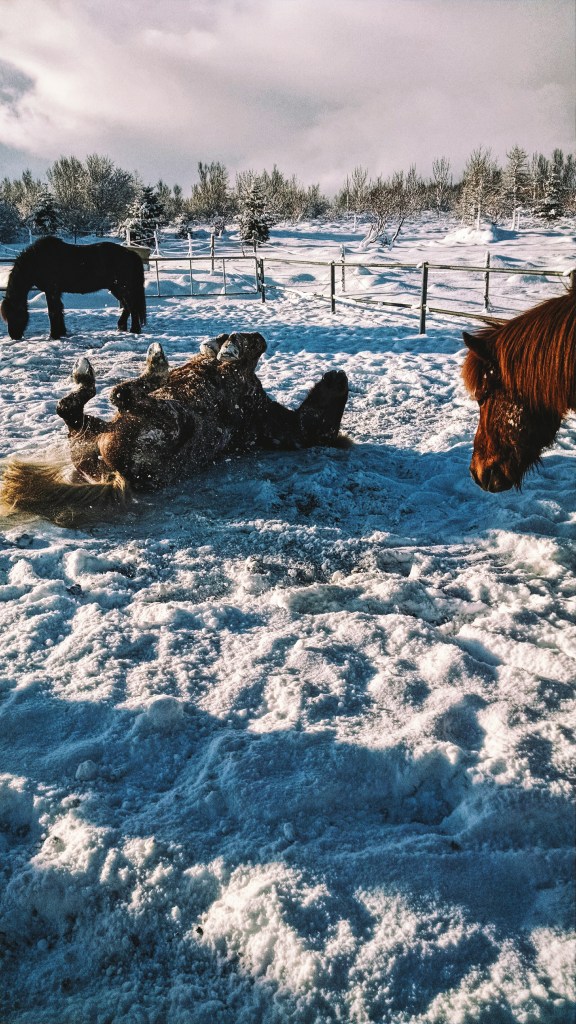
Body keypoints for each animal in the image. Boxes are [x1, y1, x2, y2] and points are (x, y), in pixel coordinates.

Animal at [0, 332, 349, 524]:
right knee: (74, 408)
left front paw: (228, 347)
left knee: (121, 395)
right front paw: (220, 344)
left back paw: (152, 364)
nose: (339, 375)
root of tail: (119, 475)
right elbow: (250, 347)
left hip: (174, 418)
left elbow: (254, 347)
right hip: (90, 433)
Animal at [1, 236, 147, 340]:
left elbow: (52, 311)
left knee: (132, 306)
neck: (38, 260)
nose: (13, 336)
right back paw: (121, 327)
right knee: (127, 306)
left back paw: (134, 330)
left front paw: (53, 335)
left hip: (123, 287)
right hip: (115, 287)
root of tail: (131, 254)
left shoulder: (51, 290)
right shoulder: (56, 291)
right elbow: (59, 309)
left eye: (14, 313)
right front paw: (61, 332)